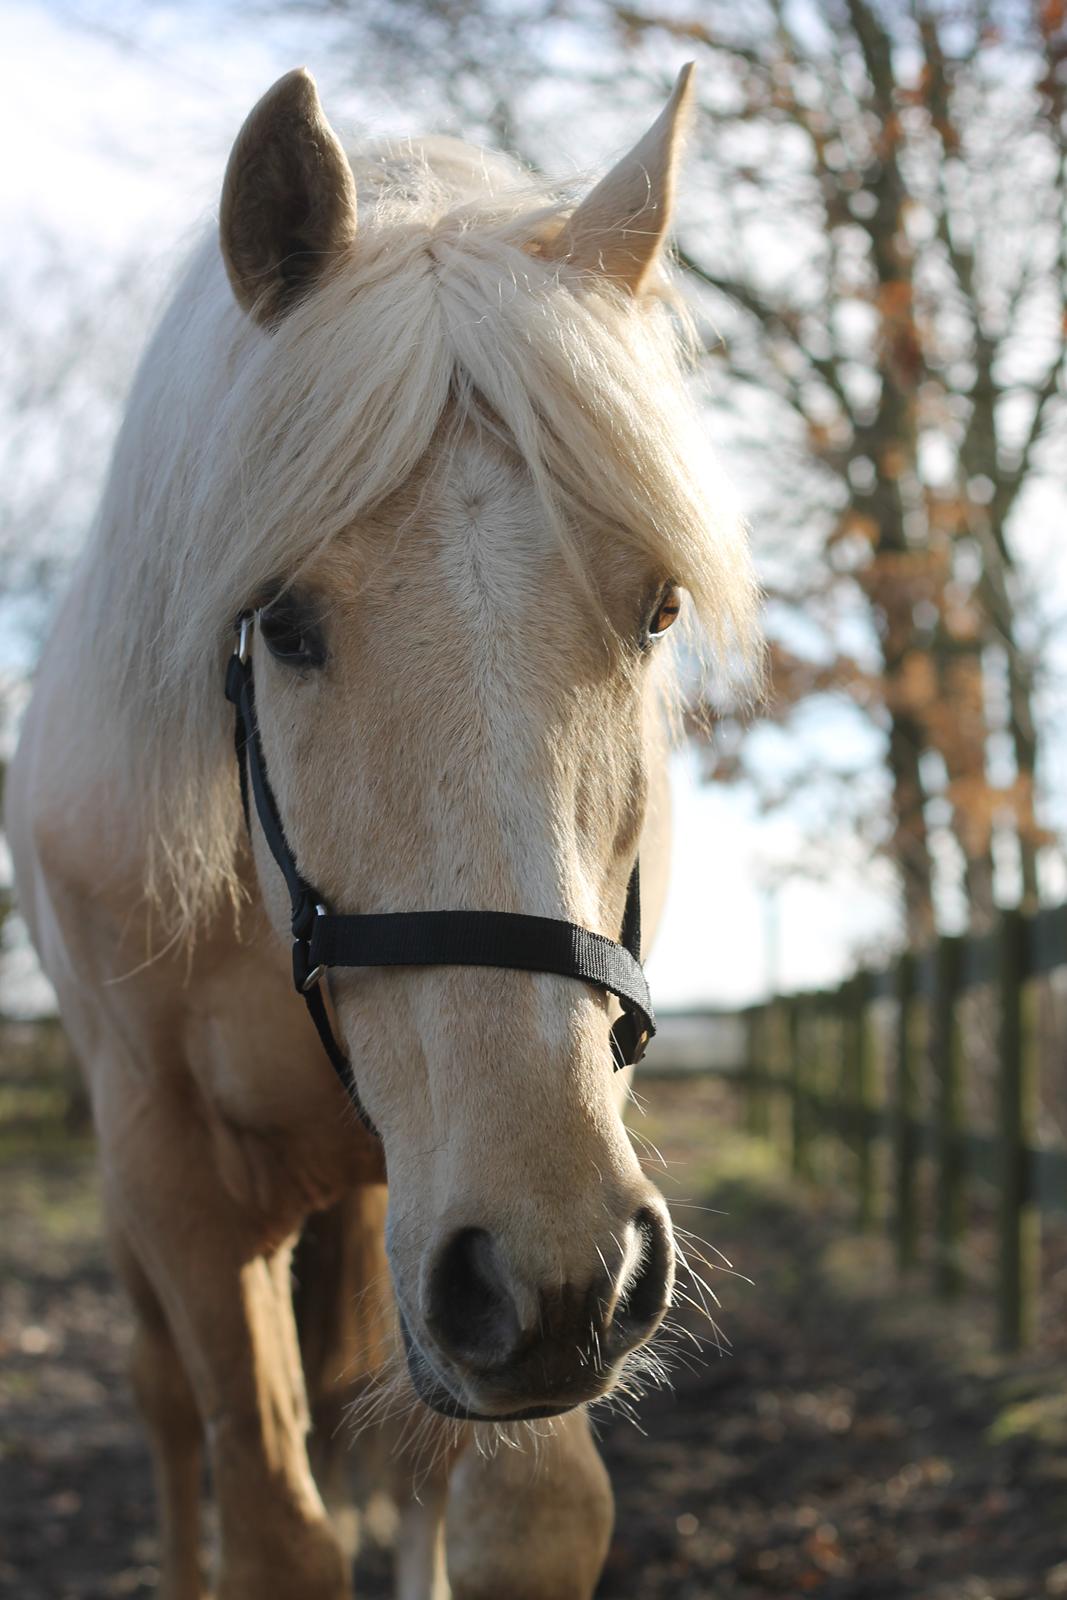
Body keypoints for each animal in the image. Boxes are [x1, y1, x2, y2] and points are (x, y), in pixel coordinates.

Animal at [6, 65, 758, 1600]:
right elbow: (271, 1518)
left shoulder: (534, 1190)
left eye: (653, 611)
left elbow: (525, 1508)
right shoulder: (178, 1175)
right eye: (284, 622)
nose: (559, 1281)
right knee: (166, 1409)